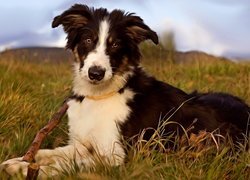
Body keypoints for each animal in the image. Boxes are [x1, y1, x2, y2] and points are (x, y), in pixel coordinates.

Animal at [0, 4, 249, 177]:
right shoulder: (85, 144)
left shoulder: (120, 157)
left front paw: (27, 170)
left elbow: (69, 165)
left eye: (116, 44)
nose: (96, 73)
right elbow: (51, 152)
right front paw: (18, 161)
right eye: (88, 40)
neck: (101, 96)